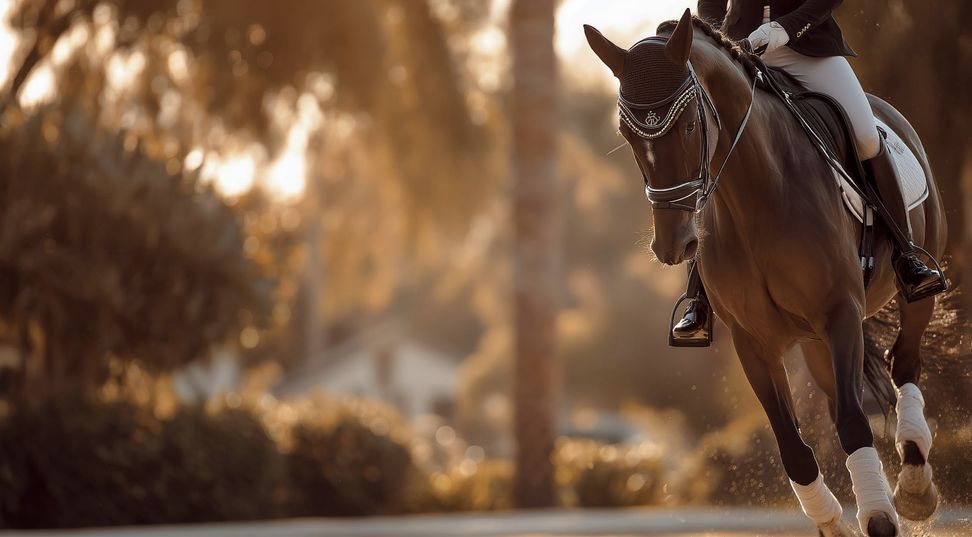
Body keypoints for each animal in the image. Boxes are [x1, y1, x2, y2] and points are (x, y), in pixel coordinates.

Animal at [585, 10, 944, 537]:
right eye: (627, 135)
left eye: (690, 125)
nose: (673, 247)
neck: (755, 195)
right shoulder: (753, 341)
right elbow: (794, 446)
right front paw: (835, 523)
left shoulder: (840, 311)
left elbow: (853, 421)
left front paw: (879, 517)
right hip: (814, 343)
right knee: (843, 396)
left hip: (913, 292)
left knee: (905, 364)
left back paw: (915, 486)